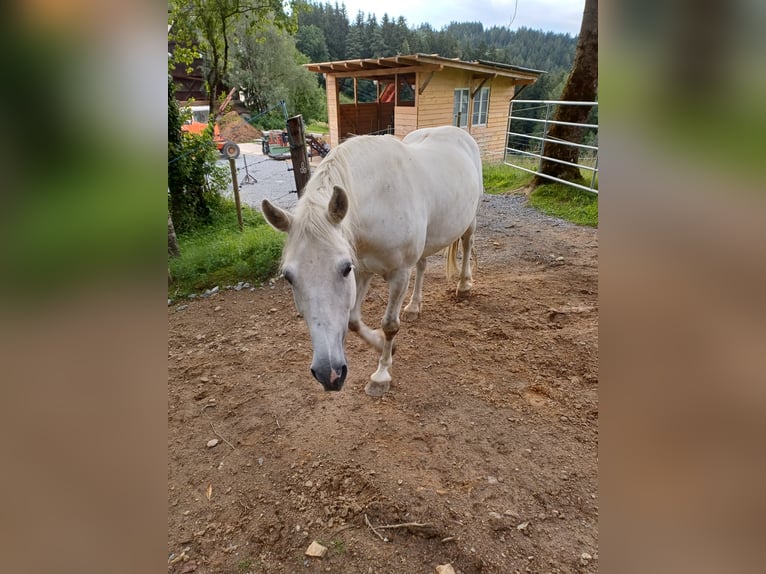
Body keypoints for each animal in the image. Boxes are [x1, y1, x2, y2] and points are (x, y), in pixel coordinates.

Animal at [260, 126, 484, 396]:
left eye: (344, 268)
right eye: (289, 277)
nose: (328, 374)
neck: (380, 199)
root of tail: (459, 132)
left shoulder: (398, 273)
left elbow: (389, 325)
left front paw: (381, 374)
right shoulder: (363, 270)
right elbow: (353, 321)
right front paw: (383, 345)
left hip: (470, 219)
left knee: (468, 243)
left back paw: (464, 286)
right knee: (422, 265)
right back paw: (414, 306)